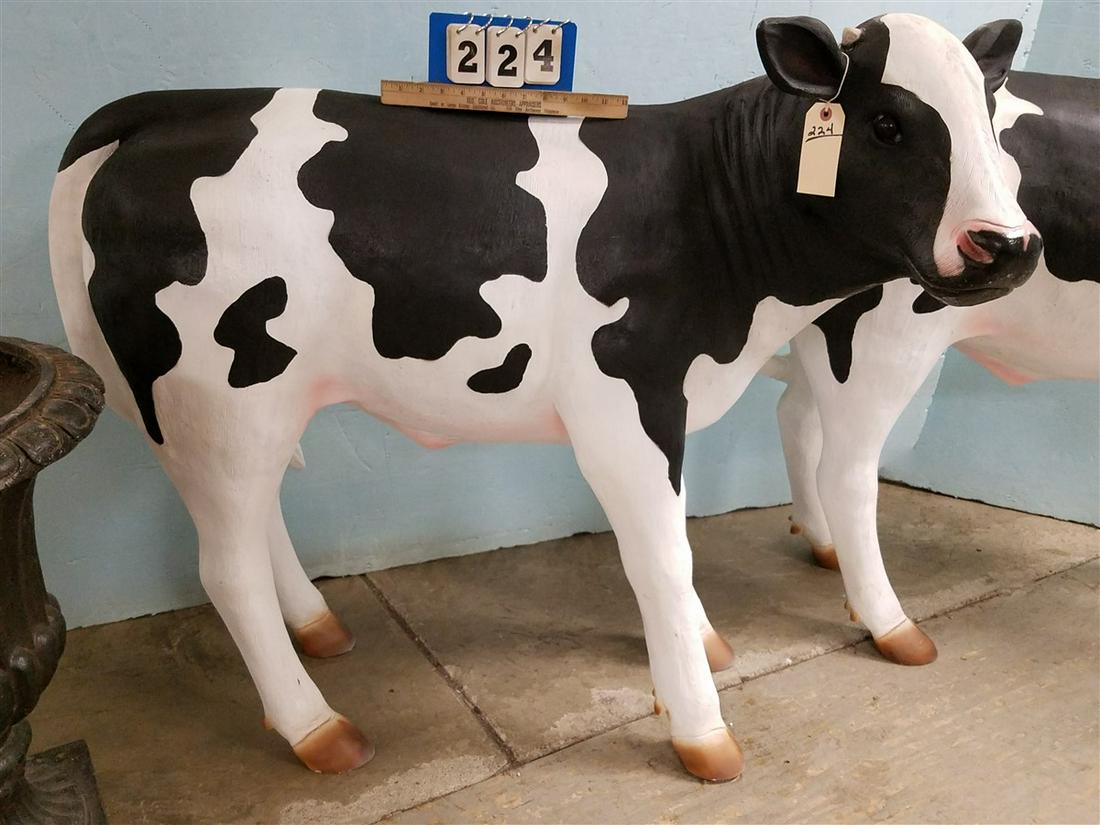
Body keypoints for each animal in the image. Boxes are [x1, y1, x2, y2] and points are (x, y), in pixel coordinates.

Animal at [49, 14, 1040, 781]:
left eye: (991, 121)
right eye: (887, 124)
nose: (1011, 244)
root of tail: (175, 106)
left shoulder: (667, 401)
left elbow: (672, 546)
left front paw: (700, 646)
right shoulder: (625, 402)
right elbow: (663, 556)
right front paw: (701, 725)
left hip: (246, 405)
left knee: (253, 533)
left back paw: (317, 627)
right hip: (220, 399)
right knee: (226, 567)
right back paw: (314, 724)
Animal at [767, 69, 1098, 667]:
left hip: (828, 335)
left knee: (797, 415)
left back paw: (824, 547)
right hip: (890, 337)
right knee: (846, 470)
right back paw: (896, 630)